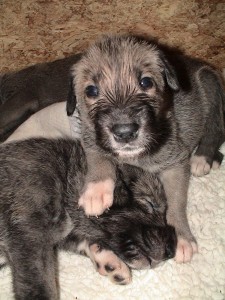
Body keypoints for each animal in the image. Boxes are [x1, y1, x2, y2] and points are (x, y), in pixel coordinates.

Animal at [0, 138, 176, 300]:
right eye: (150, 203)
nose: (171, 252)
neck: (66, 175)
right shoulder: (30, 239)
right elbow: (39, 285)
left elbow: (82, 241)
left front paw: (108, 260)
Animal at [67, 34, 225, 262]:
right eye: (91, 90)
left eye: (146, 82)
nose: (125, 132)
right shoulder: (91, 137)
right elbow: (98, 157)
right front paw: (96, 191)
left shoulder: (175, 163)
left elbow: (176, 201)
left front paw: (181, 236)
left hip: (210, 84)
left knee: (216, 129)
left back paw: (202, 158)